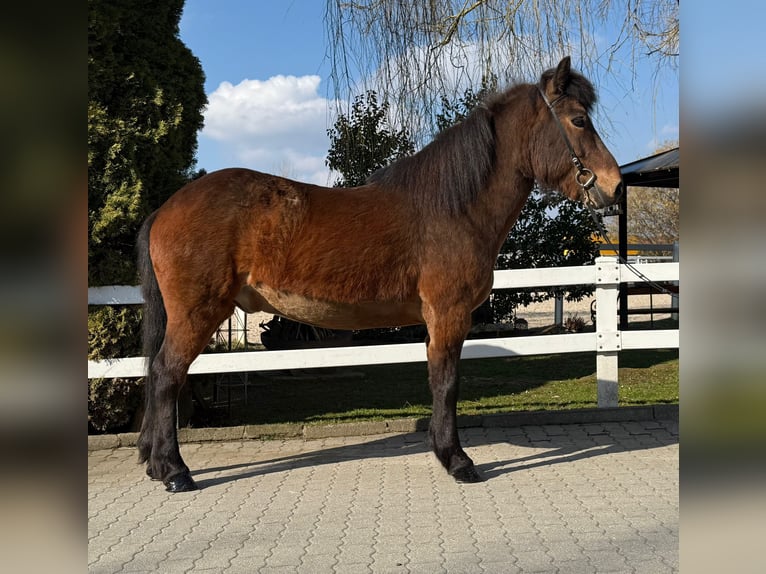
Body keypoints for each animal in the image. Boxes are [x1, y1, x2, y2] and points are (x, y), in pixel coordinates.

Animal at [136, 56, 623, 492]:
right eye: (579, 120)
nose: (615, 186)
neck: (452, 206)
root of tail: (165, 209)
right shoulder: (448, 314)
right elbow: (446, 382)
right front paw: (457, 460)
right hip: (198, 313)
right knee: (166, 374)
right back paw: (174, 471)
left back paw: (156, 463)